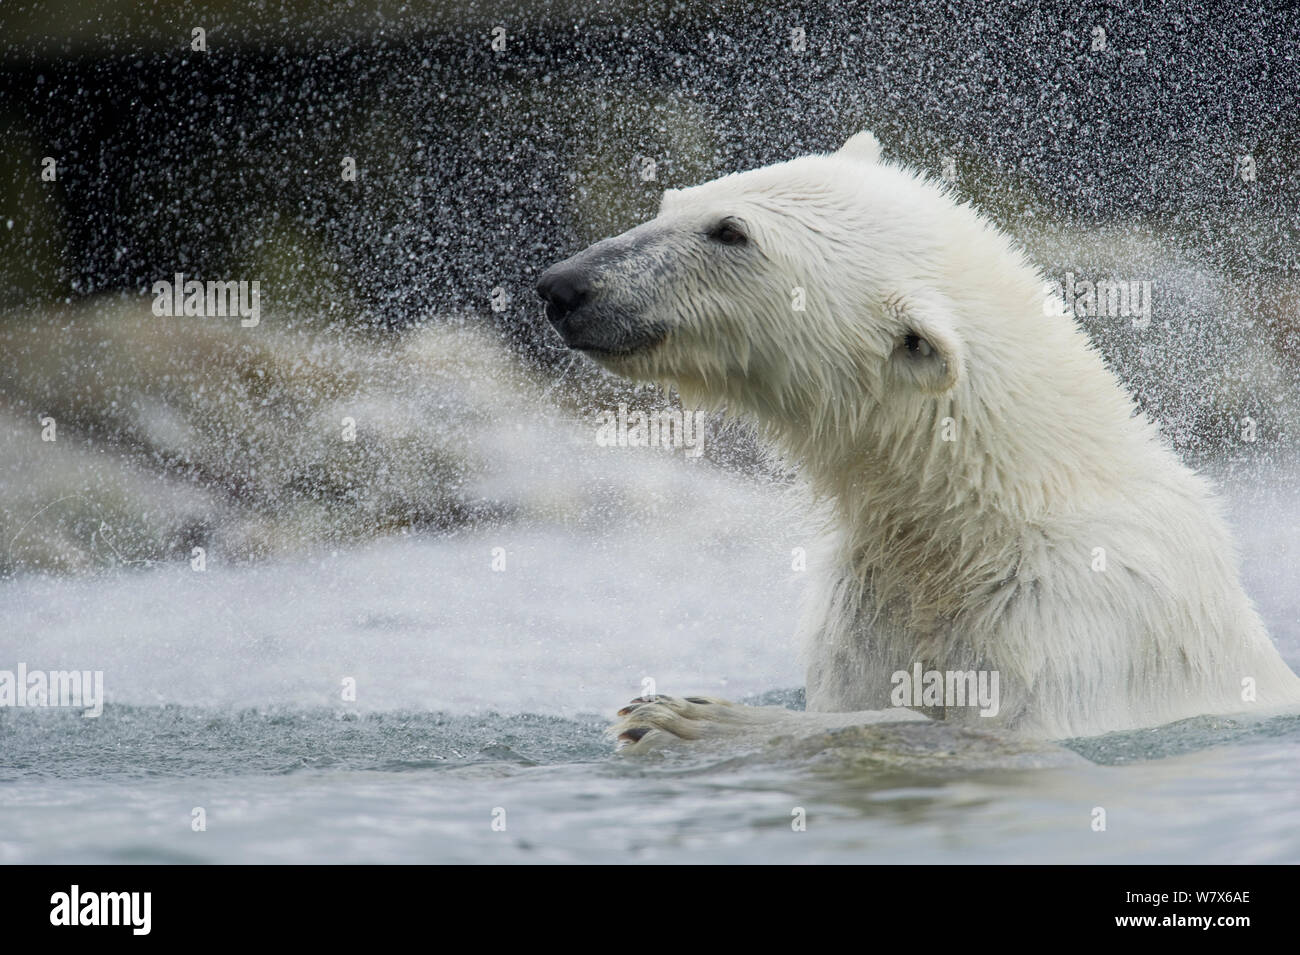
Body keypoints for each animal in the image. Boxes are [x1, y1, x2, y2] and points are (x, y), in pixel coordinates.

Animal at [536, 130, 1300, 749]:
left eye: (730, 232)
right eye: (675, 200)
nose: (563, 286)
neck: (983, 511)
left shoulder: (1077, 617)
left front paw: (685, 716)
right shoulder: (866, 609)